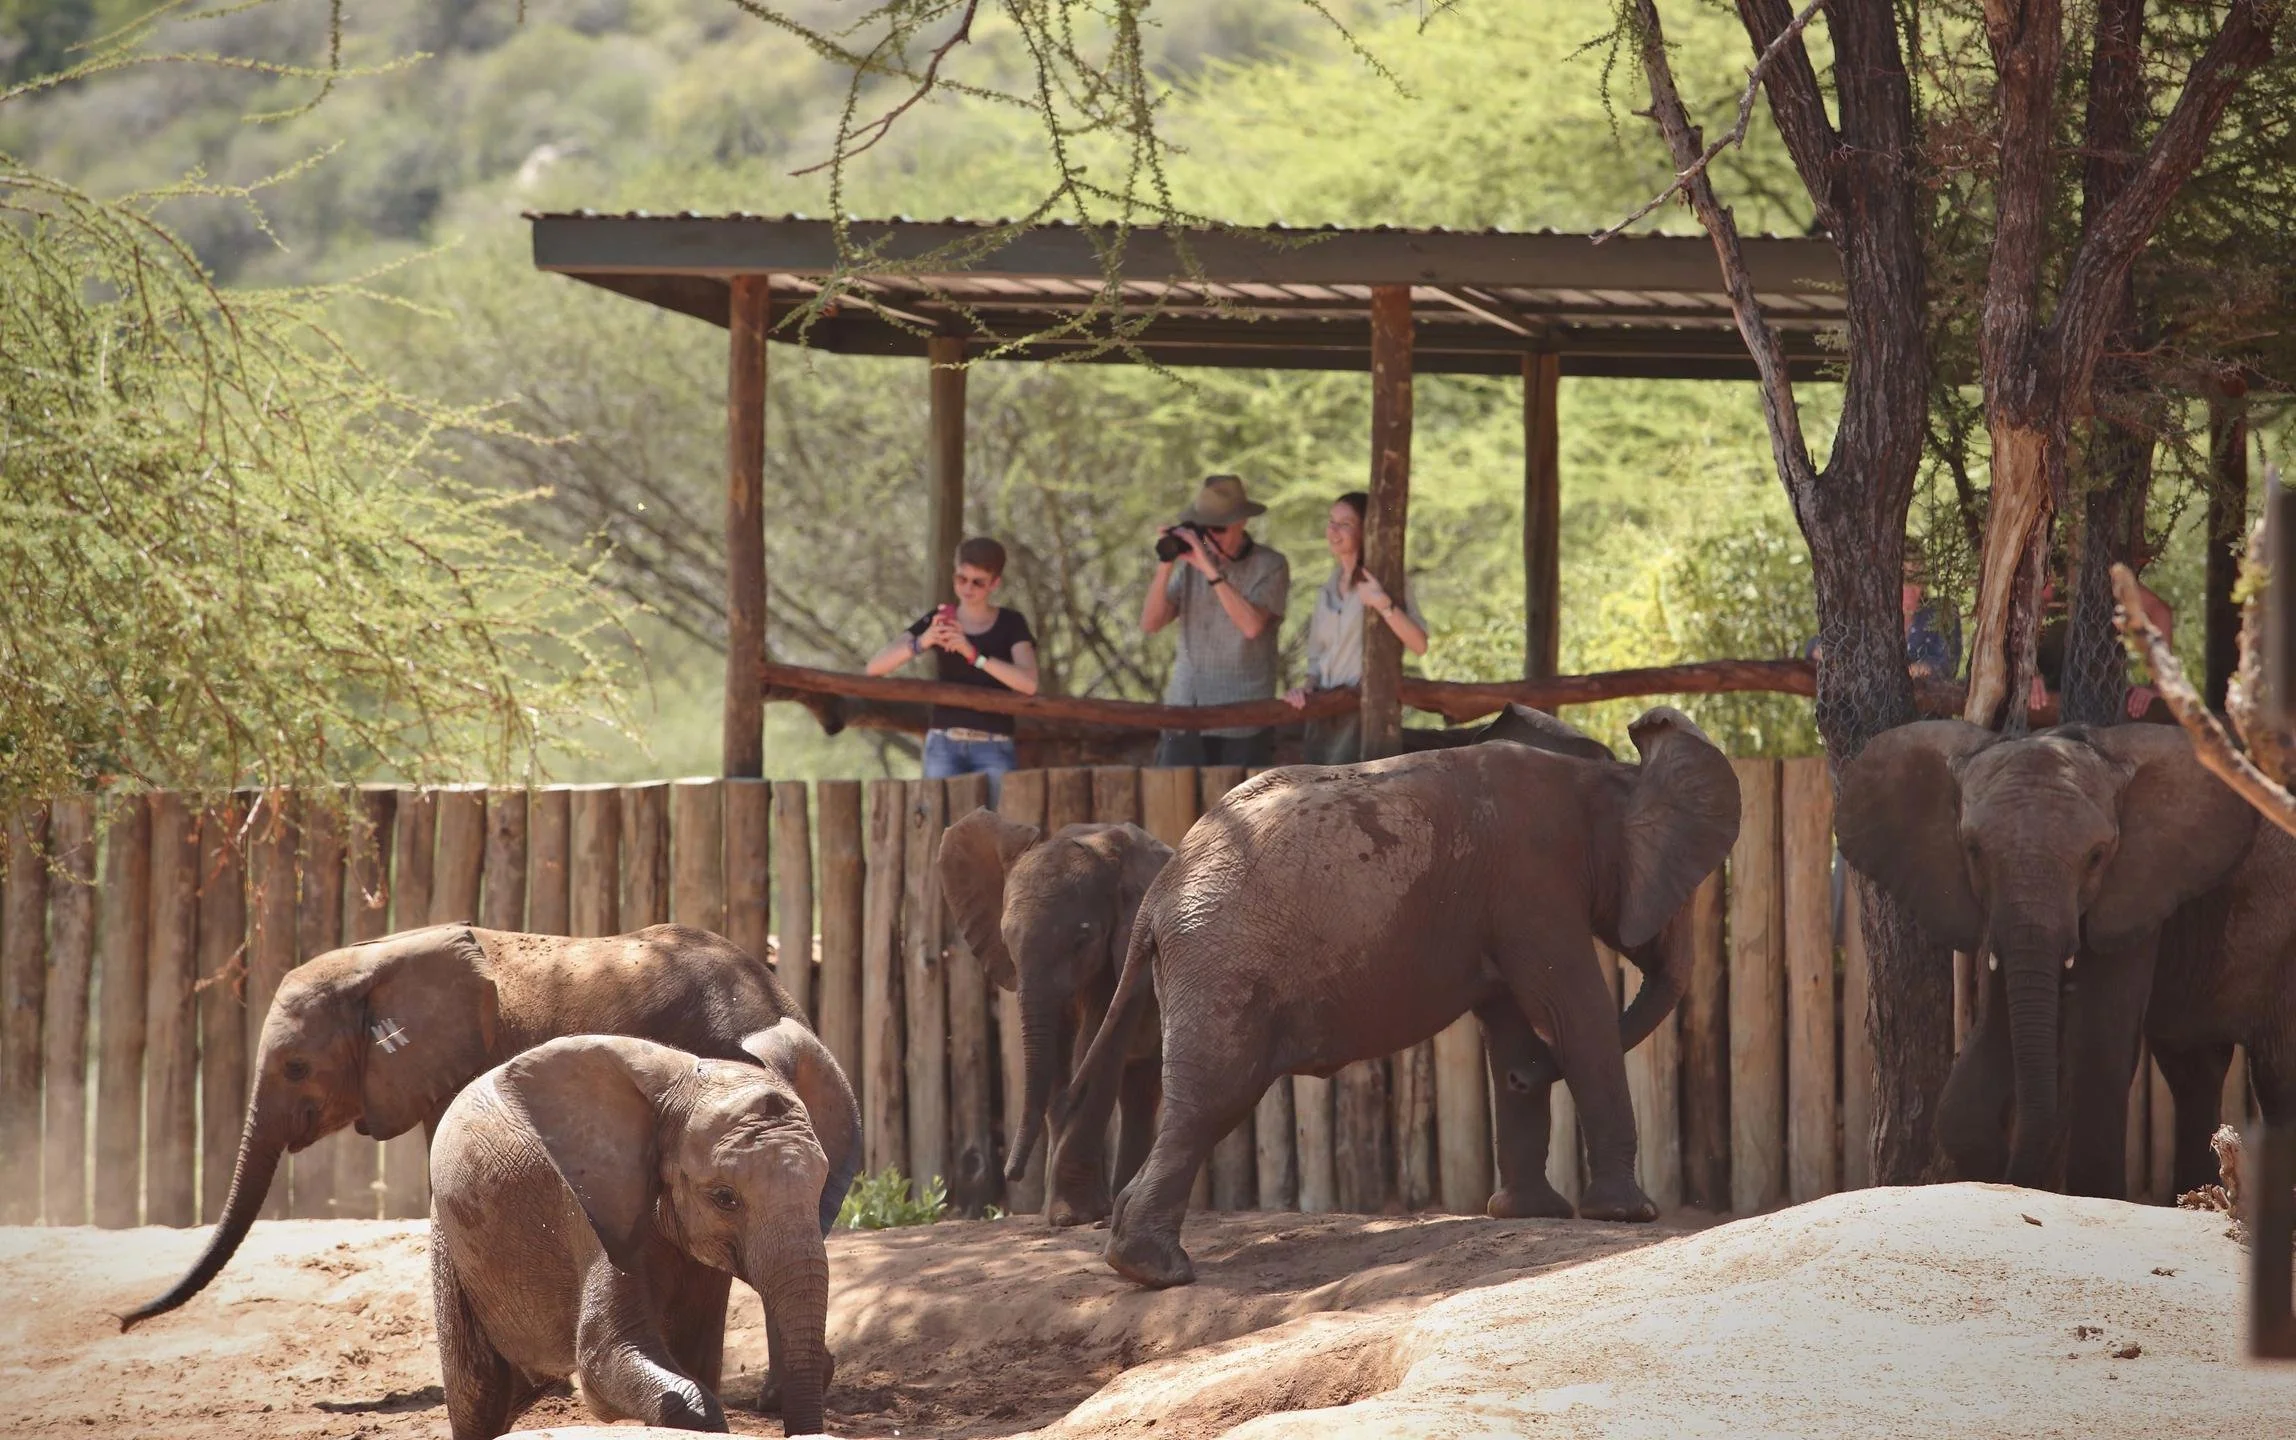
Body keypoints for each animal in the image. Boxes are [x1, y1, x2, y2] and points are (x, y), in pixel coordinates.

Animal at [429, 1025, 852, 1438]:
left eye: (820, 1187)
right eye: (724, 1198)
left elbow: (695, 1358)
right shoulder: (591, 1207)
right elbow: (603, 1359)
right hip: (450, 1240)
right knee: (477, 1396)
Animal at [936, 810, 1172, 1226]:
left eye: (1082, 940)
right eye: (1007, 942)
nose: (1011, 1174)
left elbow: (1096, 1047)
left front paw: (1071, 1217)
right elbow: (1057, 1050)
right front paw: (1067, 1214)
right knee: (1138, 1090)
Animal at [1064, 706, 1740, 1288]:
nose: (1529, 1076)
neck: (1602, 779)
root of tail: (1158, 891)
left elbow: (1513, 1022)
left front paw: (1530, 1209)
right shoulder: (1534, 882)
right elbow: (1576, 1015)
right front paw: (1629, 1216)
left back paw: (1127, 1247)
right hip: (1222, 964)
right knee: (1213, 1099)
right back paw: (1155, 1270)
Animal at [1837, 719, 2290, 1196]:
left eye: (2096, 856)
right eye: (1973, 850)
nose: (2012, 1175)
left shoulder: (2133, 888)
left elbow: (2100, 1040)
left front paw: (2092, 1195)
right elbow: (1994, 1035)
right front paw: (1991, 1167)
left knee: (2277, 1075)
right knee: (2193, 1070)